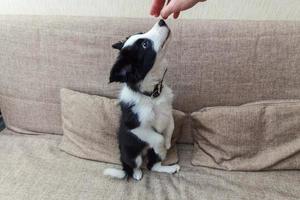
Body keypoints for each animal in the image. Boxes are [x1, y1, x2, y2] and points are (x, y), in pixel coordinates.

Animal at [103, 19, 178, 180]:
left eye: (141, 33)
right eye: (145, 45)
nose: (162, 20)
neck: (152, 95)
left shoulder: (167, 111)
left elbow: (171, 125)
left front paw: (168, 143)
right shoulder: (136, 127)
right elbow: (157, 138)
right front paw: (162, 146)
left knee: (153, 166)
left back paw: (169, 168)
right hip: (131, 155)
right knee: (135, 166)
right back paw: (137, 173)